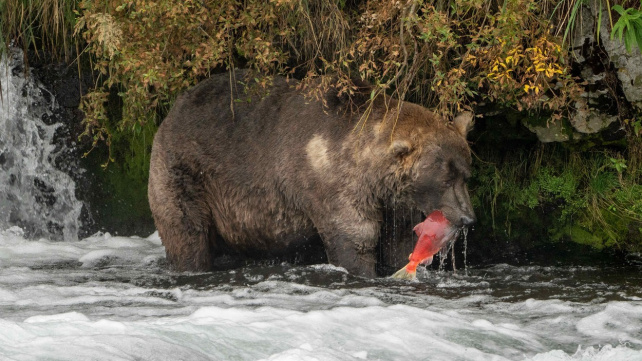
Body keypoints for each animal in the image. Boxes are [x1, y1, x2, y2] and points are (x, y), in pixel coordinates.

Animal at [148, 70, 472, 276]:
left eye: (465, 174)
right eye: (445, 177)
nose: (468, 217)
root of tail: (173, 110)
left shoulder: (395, 201)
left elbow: (399, 241)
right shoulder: (333, 184)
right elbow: (355, 239)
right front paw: (364, 269)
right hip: (186, 173)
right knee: (187, 232)